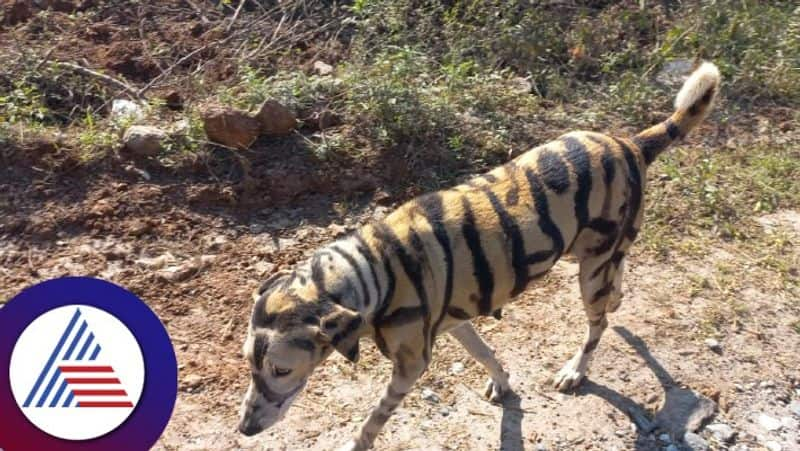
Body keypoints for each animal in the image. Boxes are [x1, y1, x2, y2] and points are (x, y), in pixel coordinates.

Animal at [236, 61, 720, 450]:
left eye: (281, 370)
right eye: (249, 364)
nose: (244, 429)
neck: (374, 270)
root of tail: (631, 144)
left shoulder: (410, 366)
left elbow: (371, 421)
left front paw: (356, 443)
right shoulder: (456, 324)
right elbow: (487, 354)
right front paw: (502, 383)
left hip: (590, 273)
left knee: (596, 326)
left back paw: (576, 369)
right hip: (589, 256)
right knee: (615, 284)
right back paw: (614, 304)